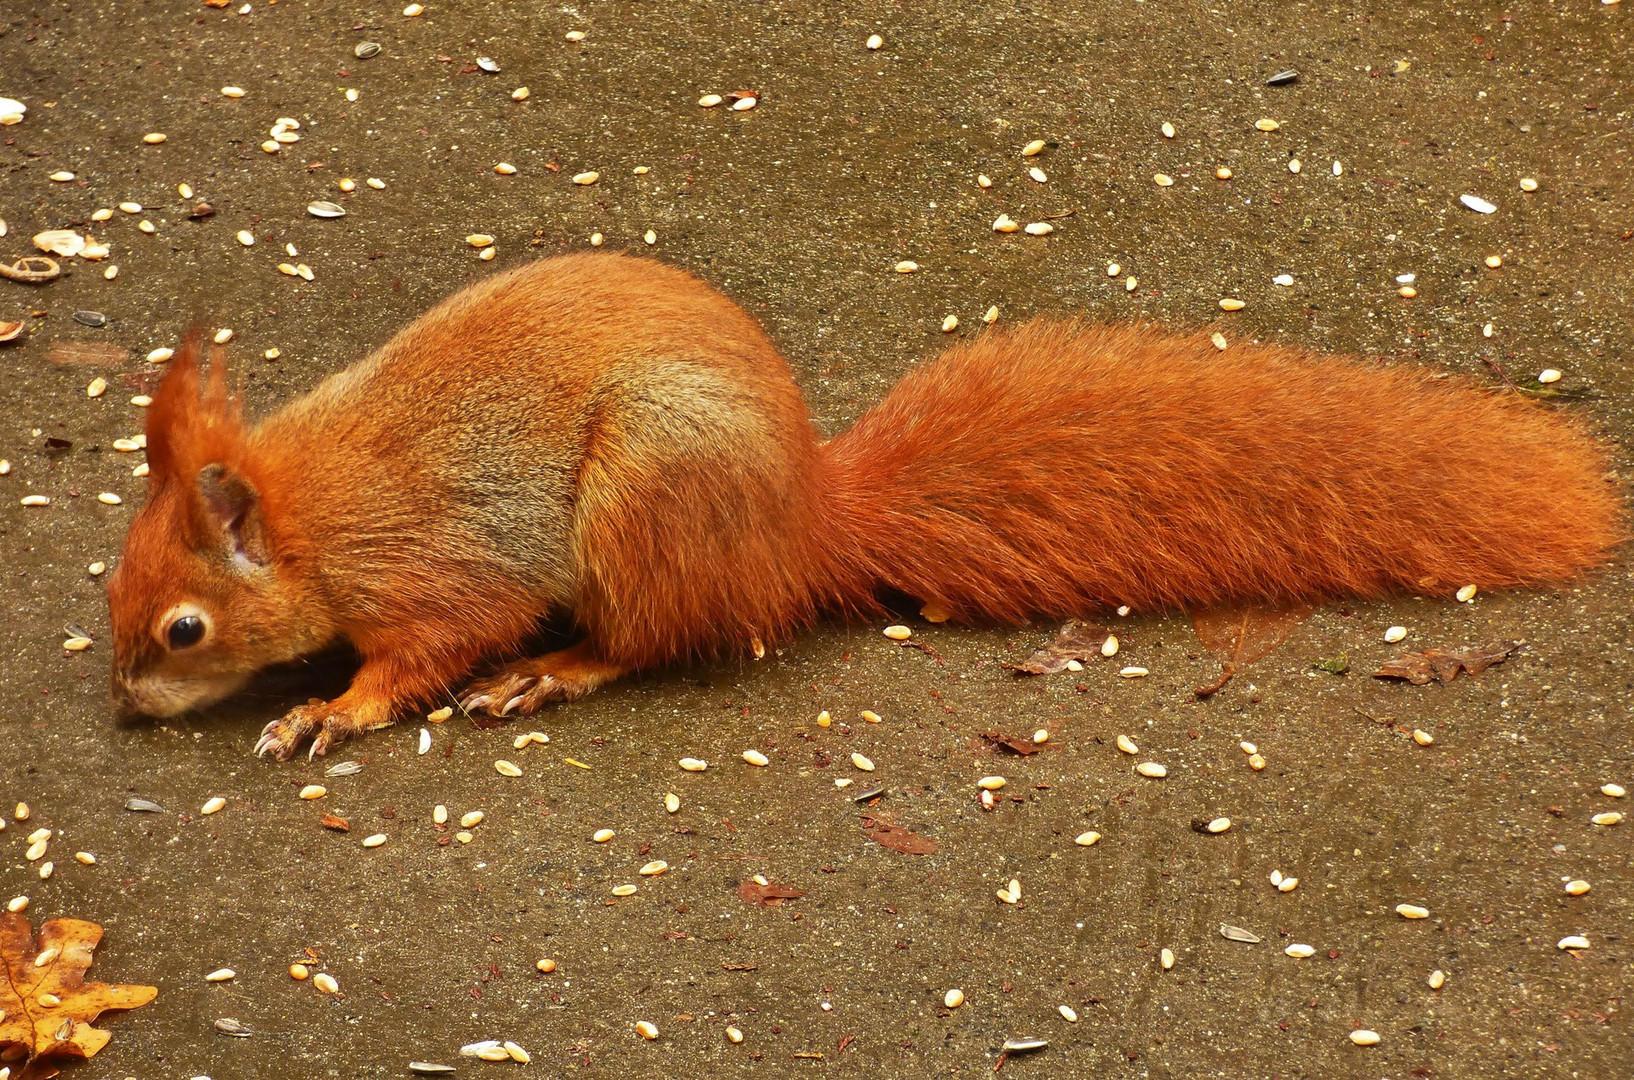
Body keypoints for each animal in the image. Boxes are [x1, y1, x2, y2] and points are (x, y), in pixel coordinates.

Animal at [105, 253, 1620, 758]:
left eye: (182, 630)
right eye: (110, 588)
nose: (126, 708)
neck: (309, 517)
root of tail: (805, 520)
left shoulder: (430, 569)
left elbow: (426, 650)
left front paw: (327, 709)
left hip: (647, 498)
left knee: (652, 638)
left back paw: (559, 668)